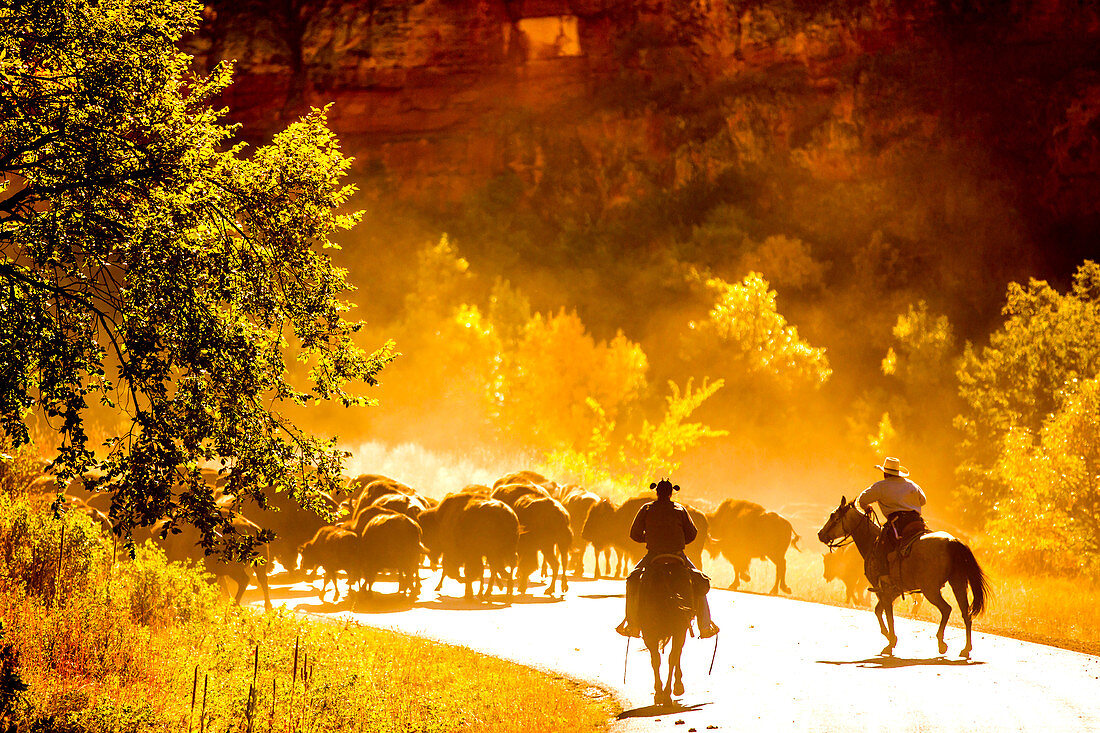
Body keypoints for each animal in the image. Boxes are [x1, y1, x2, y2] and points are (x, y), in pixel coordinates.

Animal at [818, 497, 990, 655]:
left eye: (834, 517)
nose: (820, 534)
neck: (871, 542)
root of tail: (953, 541)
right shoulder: (892, 591)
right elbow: (878, 611)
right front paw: (890, 637)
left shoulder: (883, 591)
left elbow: (887, 615)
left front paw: (891, 641)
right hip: (958, 583)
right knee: (966, 614)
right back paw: (966, 648)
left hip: (931, 589)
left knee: (946, 609)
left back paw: (941, 643)